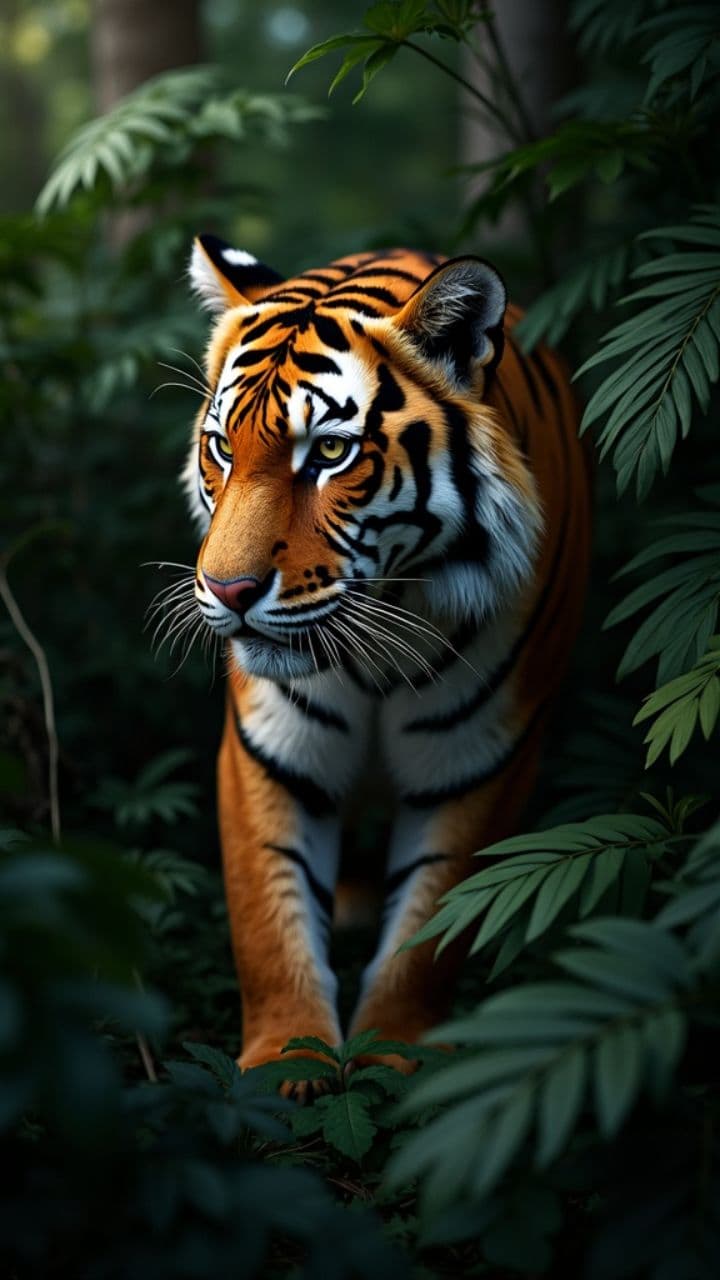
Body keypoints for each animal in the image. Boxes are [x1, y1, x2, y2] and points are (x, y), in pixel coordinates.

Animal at [181, 233, 592, 1091]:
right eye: (223, 449)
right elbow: (266, 916)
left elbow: (435, 923)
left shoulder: (480, 760)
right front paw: (284, 1060)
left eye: (331, 453)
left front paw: (397, 1054)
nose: (228, 591)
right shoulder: (269, 751)